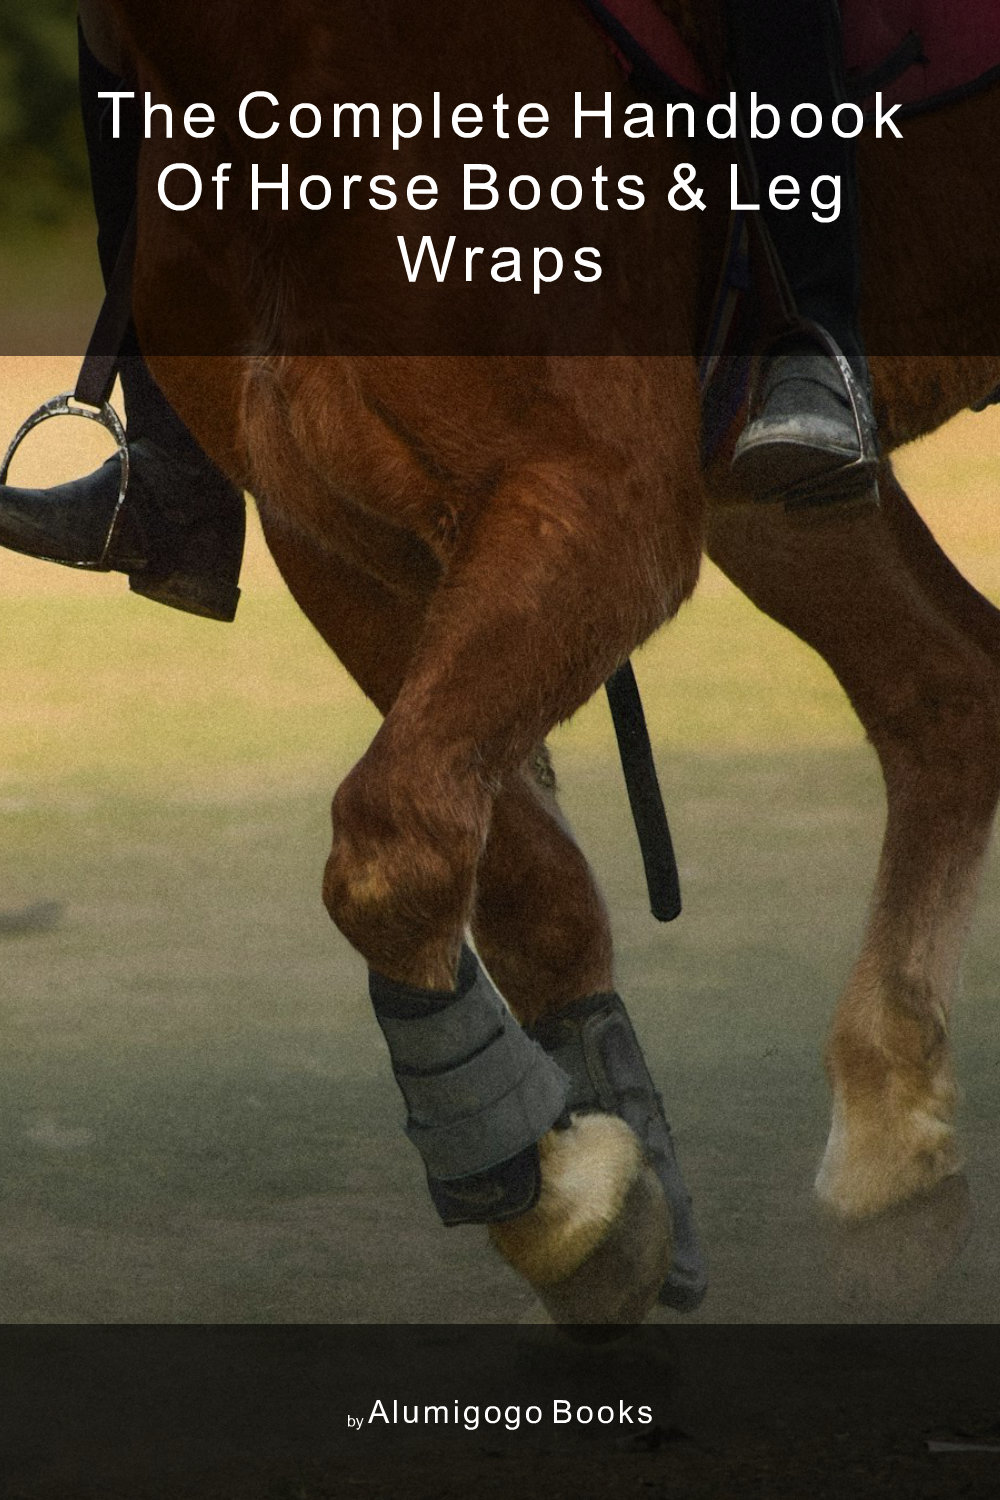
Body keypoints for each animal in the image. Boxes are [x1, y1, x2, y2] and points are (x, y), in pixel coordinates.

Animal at [94, 0, 1000, 1323]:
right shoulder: (342, 543)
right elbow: (507, 874)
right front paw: (587, 1184)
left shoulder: (592, 503)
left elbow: (395, 838)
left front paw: (555, 1196)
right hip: (780, 506)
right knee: (943, 687)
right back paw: (892, 1150)